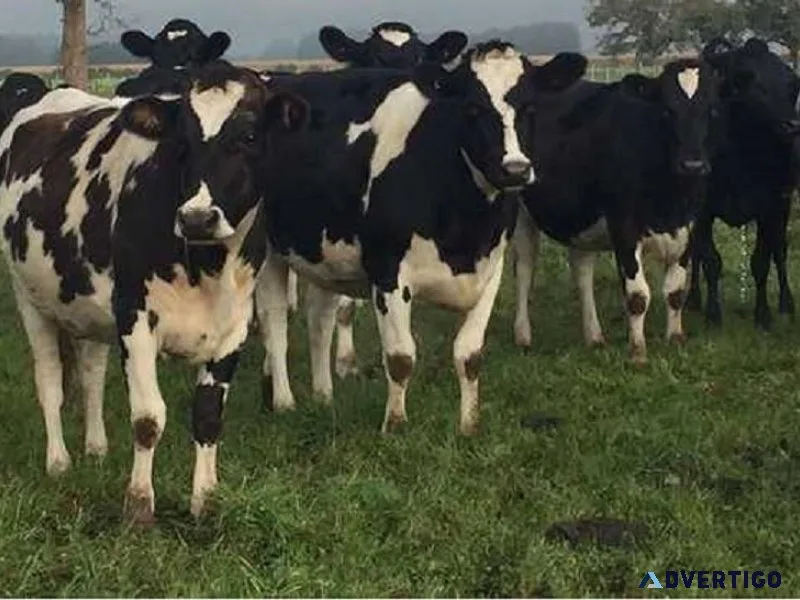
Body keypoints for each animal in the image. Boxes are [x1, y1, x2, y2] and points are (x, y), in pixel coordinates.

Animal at [0, 61, 308, 525]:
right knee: (50, 379)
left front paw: (205, 499)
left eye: (250, 136)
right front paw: (139, 505)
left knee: (91, 373)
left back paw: (96, 447)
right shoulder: (136, 319)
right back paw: (59, 461)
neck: (207, 267)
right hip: (30, 298)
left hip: (90, 310)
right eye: (181, 142)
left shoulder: (233, 328)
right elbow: (148, 418)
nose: (197, 218)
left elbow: (208, 416)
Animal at [511, 58, 720, 363]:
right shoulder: (624, 228)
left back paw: (594, 336)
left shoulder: (690, 228)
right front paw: (638, 352)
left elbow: (675, 291)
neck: (671, 201)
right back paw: (523, 336)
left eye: (712, 109)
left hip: (582, 218)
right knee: (525, 269)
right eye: (667, 110)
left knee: (582, 272)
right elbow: (638, 296)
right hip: (520, 212)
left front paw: (675, 338)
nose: (692, 165)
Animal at [687, 38, 800, 330]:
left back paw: (787, 303)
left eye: (791, 84)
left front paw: (763, 315)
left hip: (784, 207)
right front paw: (712, 314)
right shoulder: (702, 212)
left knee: (780, 251)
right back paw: (692, 298)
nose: (792, 124)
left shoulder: (770, 208)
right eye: (746, 78)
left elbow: (761, 261)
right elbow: (710, 260)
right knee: (694, 253)